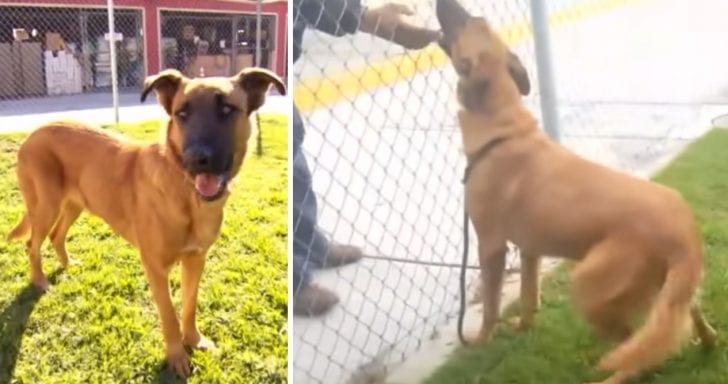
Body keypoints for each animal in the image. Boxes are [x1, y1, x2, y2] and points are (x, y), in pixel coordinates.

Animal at [6, 67, 284, 376]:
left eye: (226, 109)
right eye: (181, 113)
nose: (196, 158)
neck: (187, 196)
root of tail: (35, 131)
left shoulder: (196, 260)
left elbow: (189, 305)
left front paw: (194, 340)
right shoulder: (155, 268)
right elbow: (169, 315)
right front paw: (177, 356)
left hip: (75, 204)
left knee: (56, 235)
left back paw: (67, 264)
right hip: (46, 206)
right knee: (32, 243)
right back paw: (40, 281)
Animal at [436, 0, 720, 384]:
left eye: (468, 22)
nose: (442, 6)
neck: (503, 129)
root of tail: (684, 234)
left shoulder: (491, 246)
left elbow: (491, 308)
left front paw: (481, 343)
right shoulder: (530, 249)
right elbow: (528, 296)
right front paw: (523, 327)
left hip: (587, 284)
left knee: (636, 350)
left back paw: (615, 377)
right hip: (670, 293)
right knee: (684, 321)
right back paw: (708, 343)